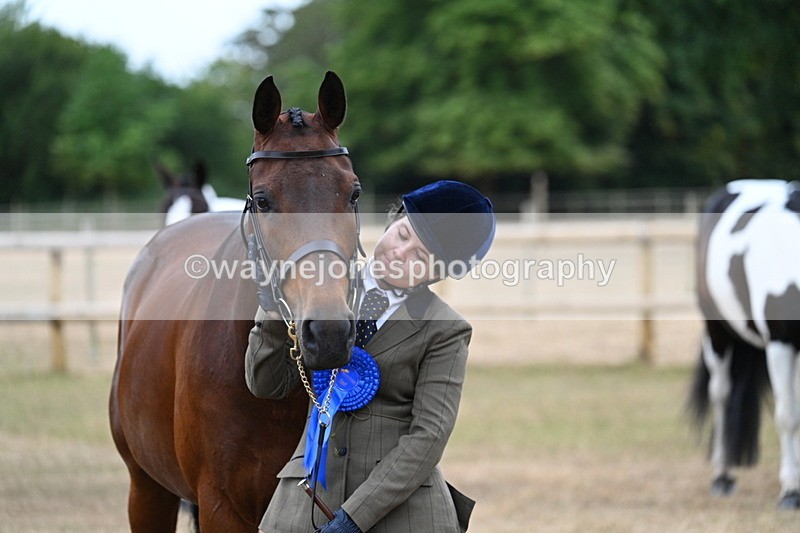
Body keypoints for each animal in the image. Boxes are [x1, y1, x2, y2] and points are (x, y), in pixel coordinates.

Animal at [689, 178, 800, 509]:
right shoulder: (780, 343)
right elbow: (788, 416)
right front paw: (791, 490)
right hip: (717, 335)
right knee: (721, 395)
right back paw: (722, 476)